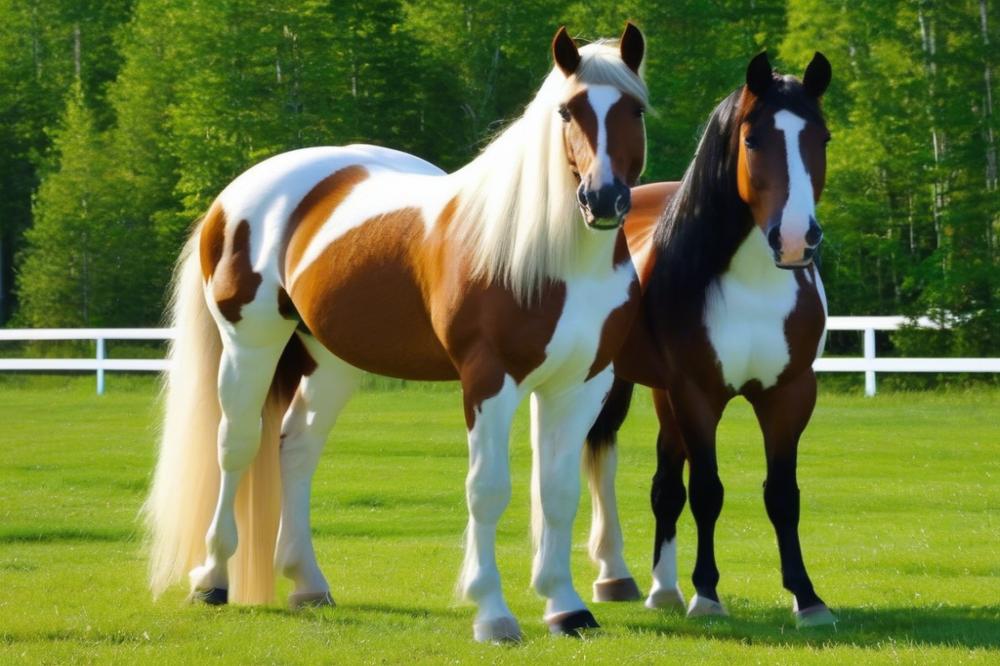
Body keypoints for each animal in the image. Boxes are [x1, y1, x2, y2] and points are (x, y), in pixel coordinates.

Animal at [144, 24, 649, 643]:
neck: (550, 254)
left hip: (331, 361)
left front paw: (567, 607)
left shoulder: (581, 385)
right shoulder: (489, 380)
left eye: (635, 109)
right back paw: (211, 580)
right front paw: (492, 613)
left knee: (297, 448)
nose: (603, 199)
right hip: (249, 344)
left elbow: (557, 493)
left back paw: (308, 583)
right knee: (236, 446)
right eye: (567, 110)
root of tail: (233, 196)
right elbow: (488, 491)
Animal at [581, 51, 838, 628]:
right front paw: (707, 594)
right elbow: (707, 491)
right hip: (609, 384)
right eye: (753, 140)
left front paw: (807, 597)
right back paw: (615, 575)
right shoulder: (698, 394)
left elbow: (781, 495)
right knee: (598, 455)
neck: (751, 285)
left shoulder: (789, 393)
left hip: (662, 394)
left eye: (823, 137)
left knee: (663, 486)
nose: (796, 240)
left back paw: (663, 590)